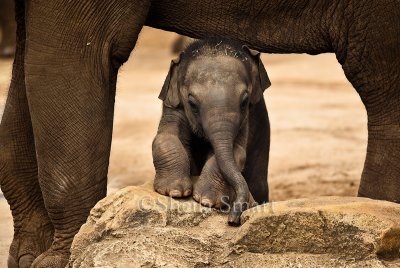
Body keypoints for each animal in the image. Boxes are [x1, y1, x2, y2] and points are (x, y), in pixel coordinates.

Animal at [153, 37, 272, 224]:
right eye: (192, 103)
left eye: (244, 102)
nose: (232, 220)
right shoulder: (173, 104)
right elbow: (165, 137)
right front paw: (174, 191)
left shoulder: (247, 118)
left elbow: (236, 151)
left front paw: (206, 200)